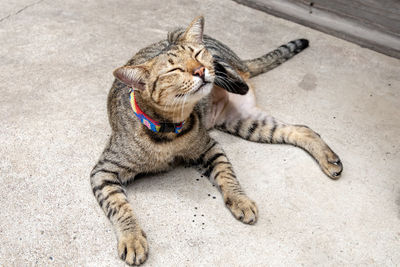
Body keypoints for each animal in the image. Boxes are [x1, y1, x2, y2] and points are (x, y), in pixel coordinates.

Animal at [91, 16, 344, 266]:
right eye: (174, 69)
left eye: (197, 54)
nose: (201, 69)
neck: (169, 131)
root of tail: (242, 65)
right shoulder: (103, 172)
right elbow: (119, 207)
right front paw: (132, 238)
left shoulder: (210, 147)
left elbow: (227, 175)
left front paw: (240, 200)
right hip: (250, 124)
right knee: (302, 129)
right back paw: (329, 159)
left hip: (181, 35)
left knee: (237, 79)